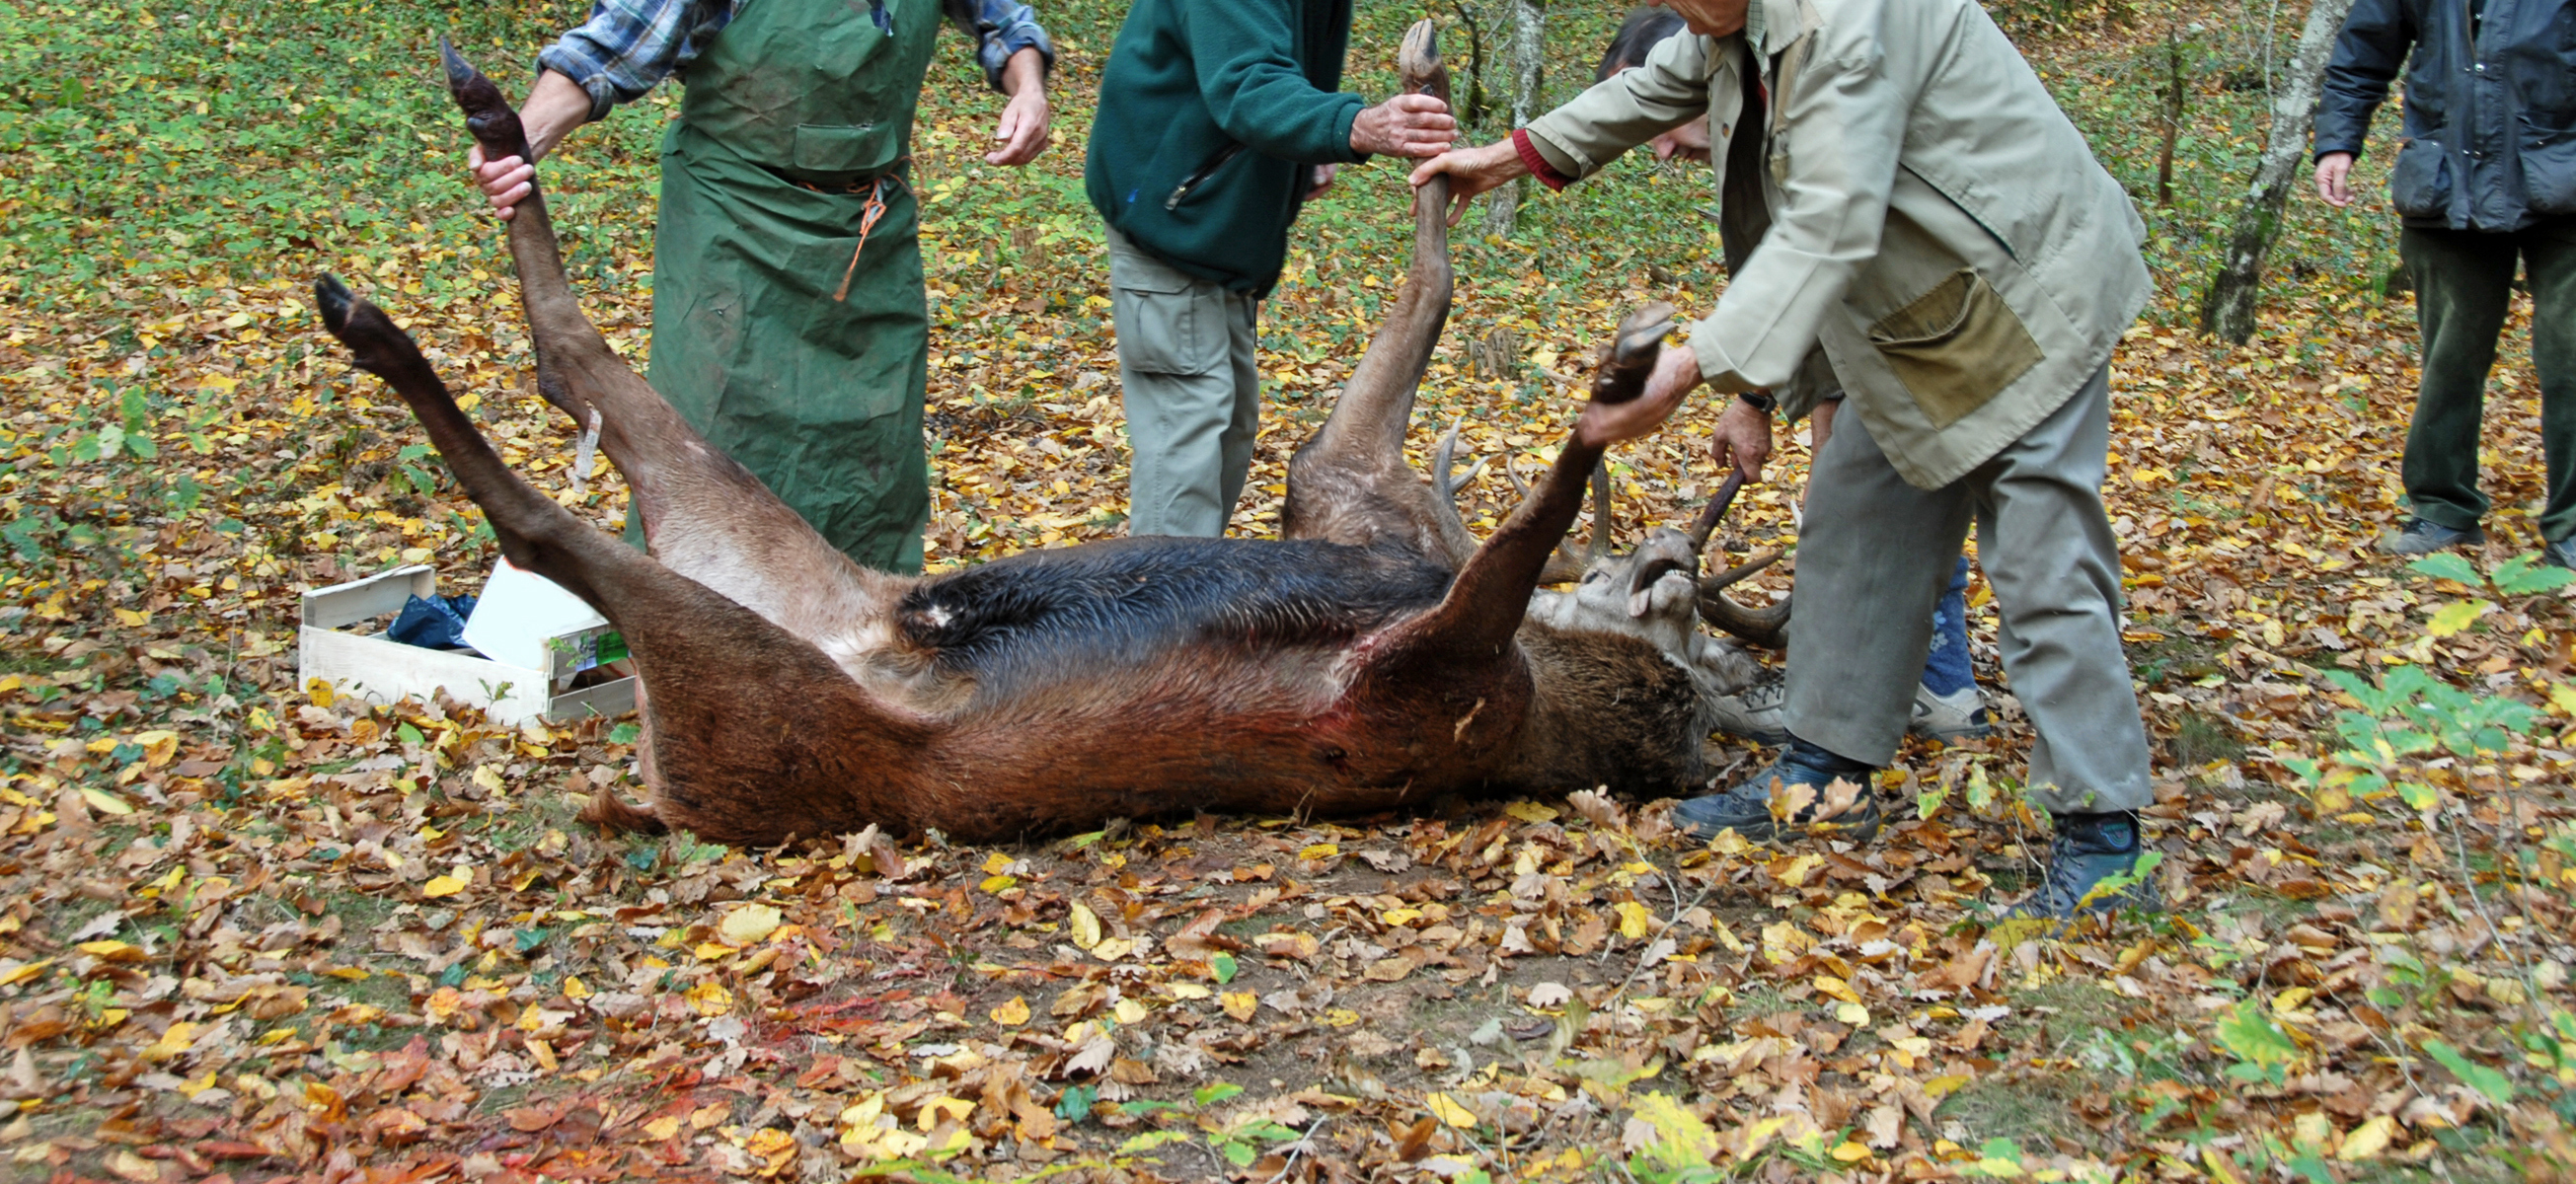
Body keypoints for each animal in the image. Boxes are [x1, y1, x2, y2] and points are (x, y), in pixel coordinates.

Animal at [309, 23, 1789, 847]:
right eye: (1679, 618)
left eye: (1689, 663)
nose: (1669, 564)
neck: (1560, 685)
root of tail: (650, 789)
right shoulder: (1345, 492)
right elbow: (1430, 292)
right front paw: (1429, 108)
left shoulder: (1414, 686)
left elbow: (1539, 475)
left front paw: (1627, 366)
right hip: (759, 587)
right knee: (570, 370)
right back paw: (480, 136)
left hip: (753, 693)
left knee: (543, 506)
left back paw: (379, 308)